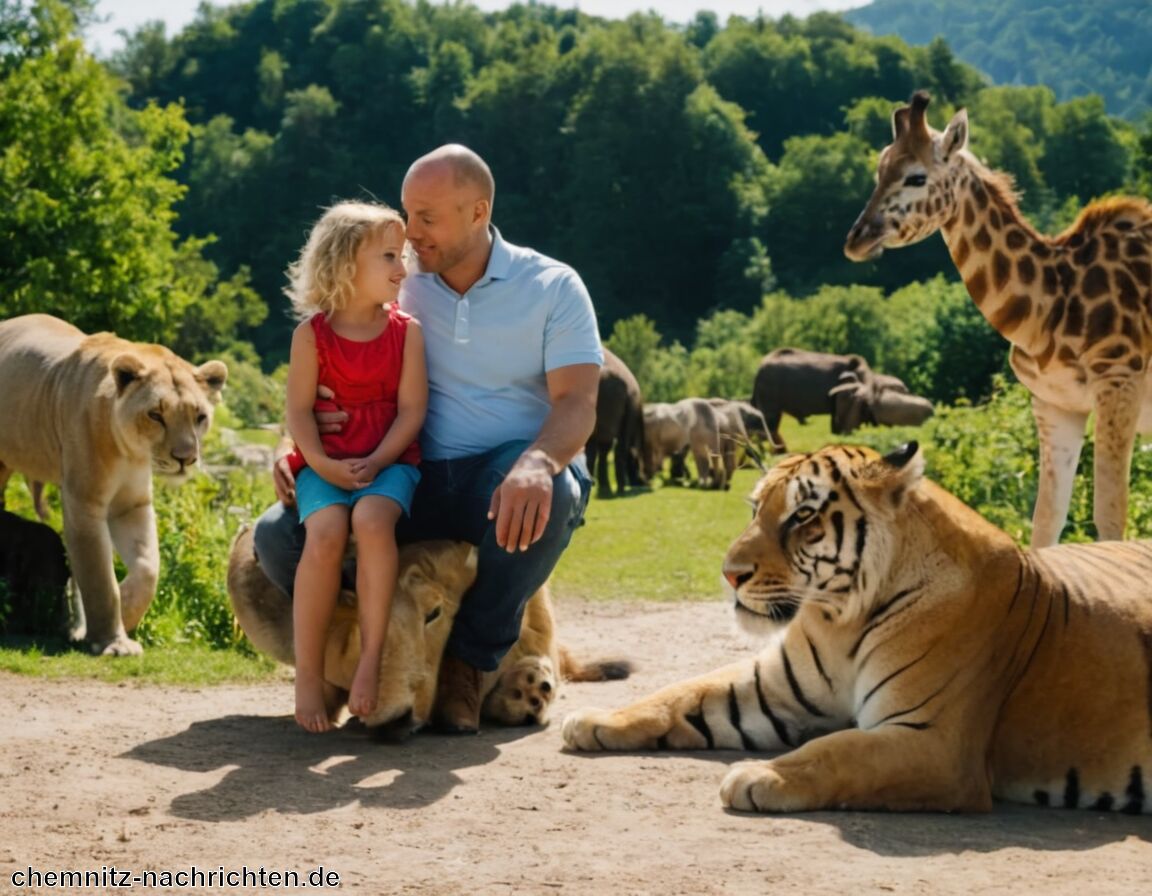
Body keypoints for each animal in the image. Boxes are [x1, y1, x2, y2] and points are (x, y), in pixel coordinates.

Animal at [0, 313, 228, 649]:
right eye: (156, 415)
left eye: (200, 416)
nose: (185, 458)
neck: (130, 453)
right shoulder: (84, 502)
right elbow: (98, 575)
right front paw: (112, 643)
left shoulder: (132, 503)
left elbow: (148, 568)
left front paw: (128, 612)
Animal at [562, 439, 1152, 810]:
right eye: (755, 508)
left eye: (802, 515)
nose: (730, 574)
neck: (840, 617)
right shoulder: (768, 691)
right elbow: (678, 693)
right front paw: (593, 719)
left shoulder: (935, 743)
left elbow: (839, 751)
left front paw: (759, 774)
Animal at [838, 94, 1152, 548]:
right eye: (880, 168)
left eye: (916, 176)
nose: (857, 239)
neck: (1051, 304)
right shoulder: (1055, 404)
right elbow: (1046, 519)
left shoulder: (1119, 384)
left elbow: (1110, 517)